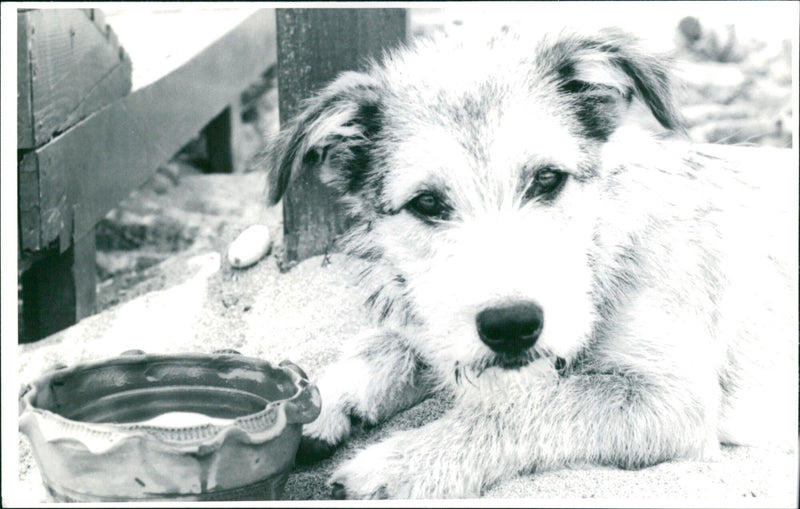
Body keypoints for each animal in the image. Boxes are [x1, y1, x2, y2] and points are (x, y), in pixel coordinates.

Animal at [260, 28, 792, 500]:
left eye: (548, 179)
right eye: (427, 203)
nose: (511, 325)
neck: (601, 252)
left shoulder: (671, 401)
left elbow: (530, 405)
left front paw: (400, 462)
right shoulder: (440, 323)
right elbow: (387, 344)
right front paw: (322, 401)